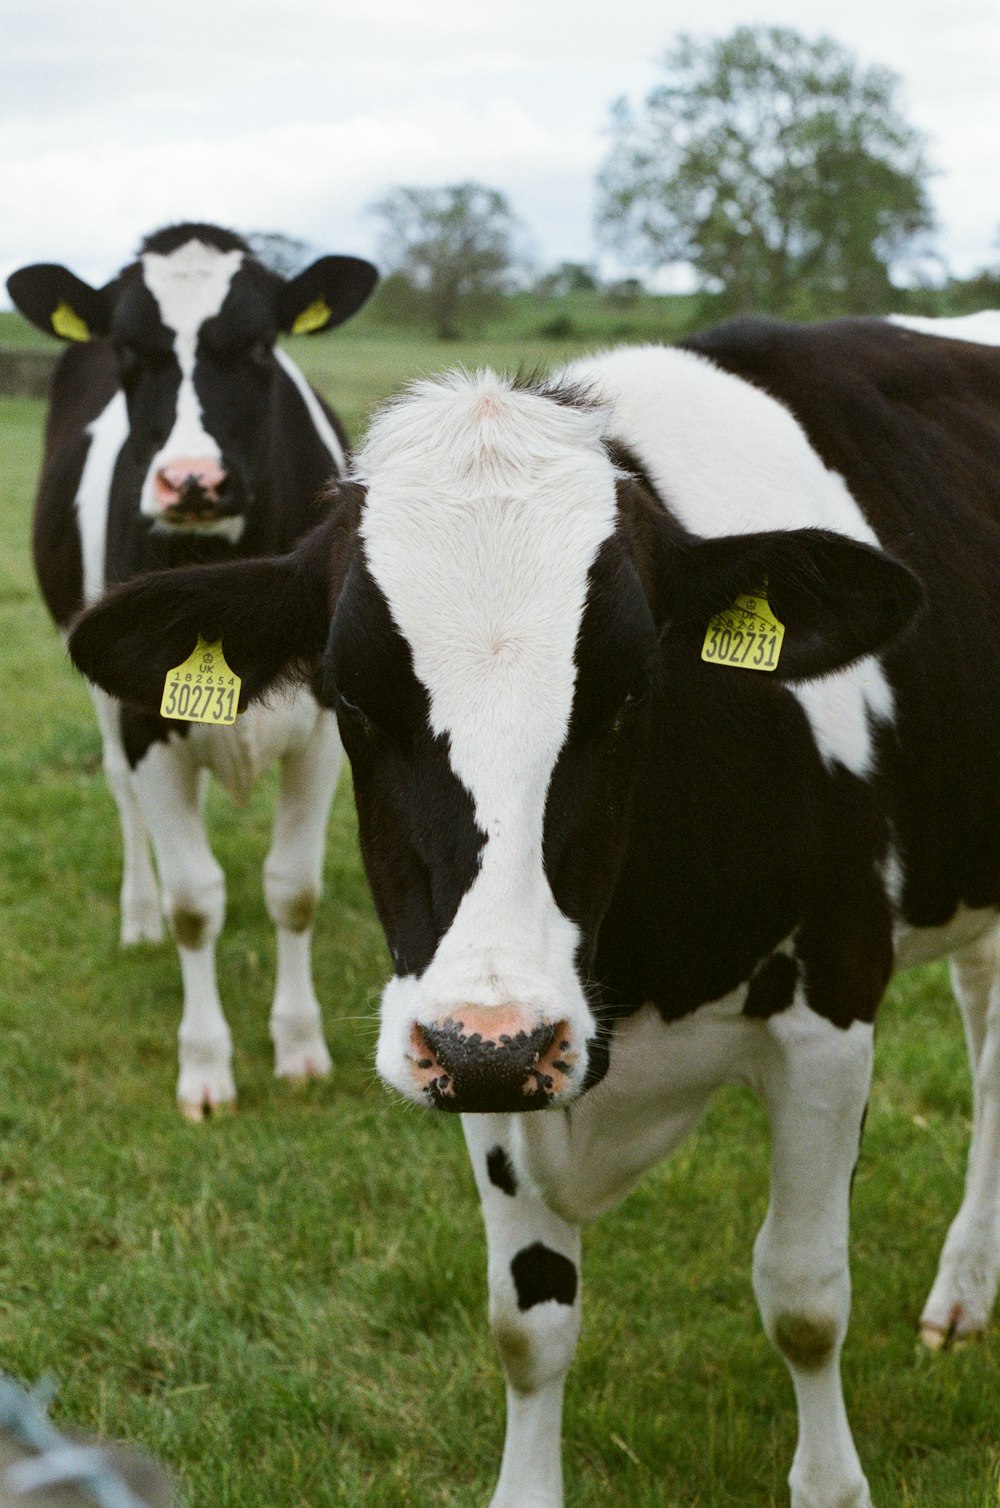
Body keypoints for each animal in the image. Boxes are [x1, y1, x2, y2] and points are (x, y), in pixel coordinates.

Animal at [7, 223, 380, 1121]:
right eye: (128, 350)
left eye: (258, 345)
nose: (193, 482)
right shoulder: (144, 715)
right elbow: (193, 902)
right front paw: (206, 1066)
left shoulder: (324, 723)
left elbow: (293, 887)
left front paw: (301, 1046)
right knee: (122, 797)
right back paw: (136, 914)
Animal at [66, 315, 1000, 1495]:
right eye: (349, 693)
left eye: (633, 686)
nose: (496, 1042)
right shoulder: (475, 1041)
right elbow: (529, 1321)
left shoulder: (830, 1006)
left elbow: (802, 1298)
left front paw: (831, 1489)